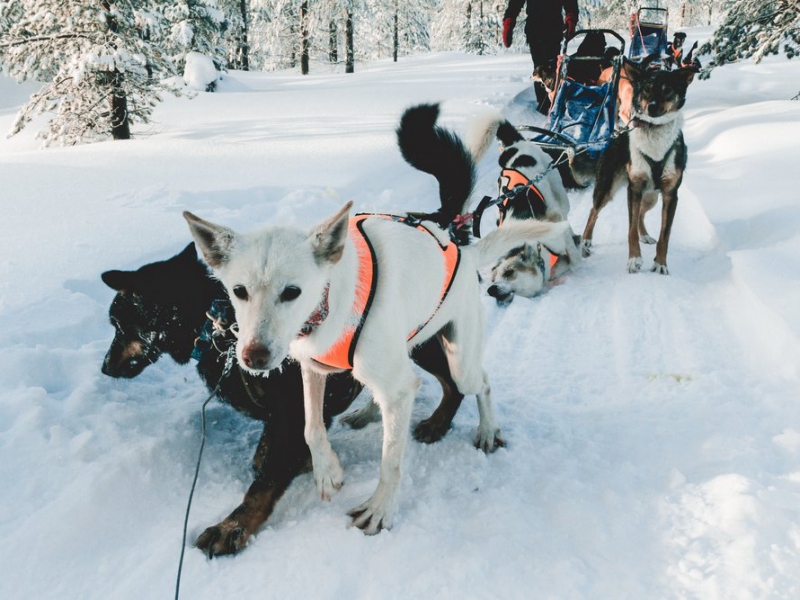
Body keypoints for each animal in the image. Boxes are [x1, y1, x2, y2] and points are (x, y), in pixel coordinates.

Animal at [186, 204, 576, 532]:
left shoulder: (391, 387)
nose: (254, 356)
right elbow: (312, 427)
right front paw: (326, 471)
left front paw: (380, 509)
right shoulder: (312, 369)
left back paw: (487, 429)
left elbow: (390, 463)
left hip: (458, 362)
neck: (329, 304)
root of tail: (464, 253)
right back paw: (368, 413)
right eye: (239, 290)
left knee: (480, 380)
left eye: (292, 291)